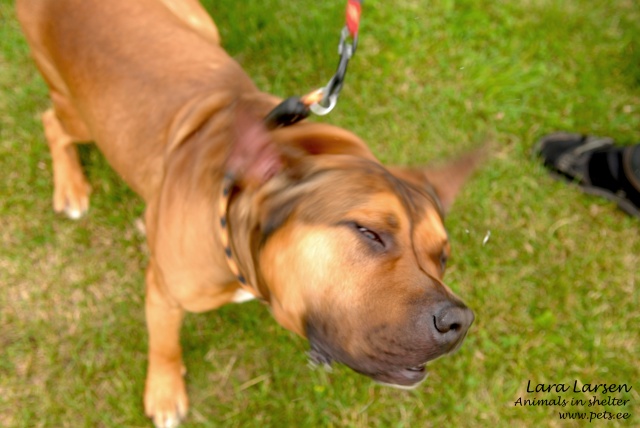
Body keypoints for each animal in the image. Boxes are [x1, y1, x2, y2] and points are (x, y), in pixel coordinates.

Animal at [16, 0, 478, 426]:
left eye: (442, 256)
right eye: (368, 231)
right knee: (51, 122)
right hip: (78, 114)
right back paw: (71, 186)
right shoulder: (164, 291)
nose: (460, 320)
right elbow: (164, 343)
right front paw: (164, 390)